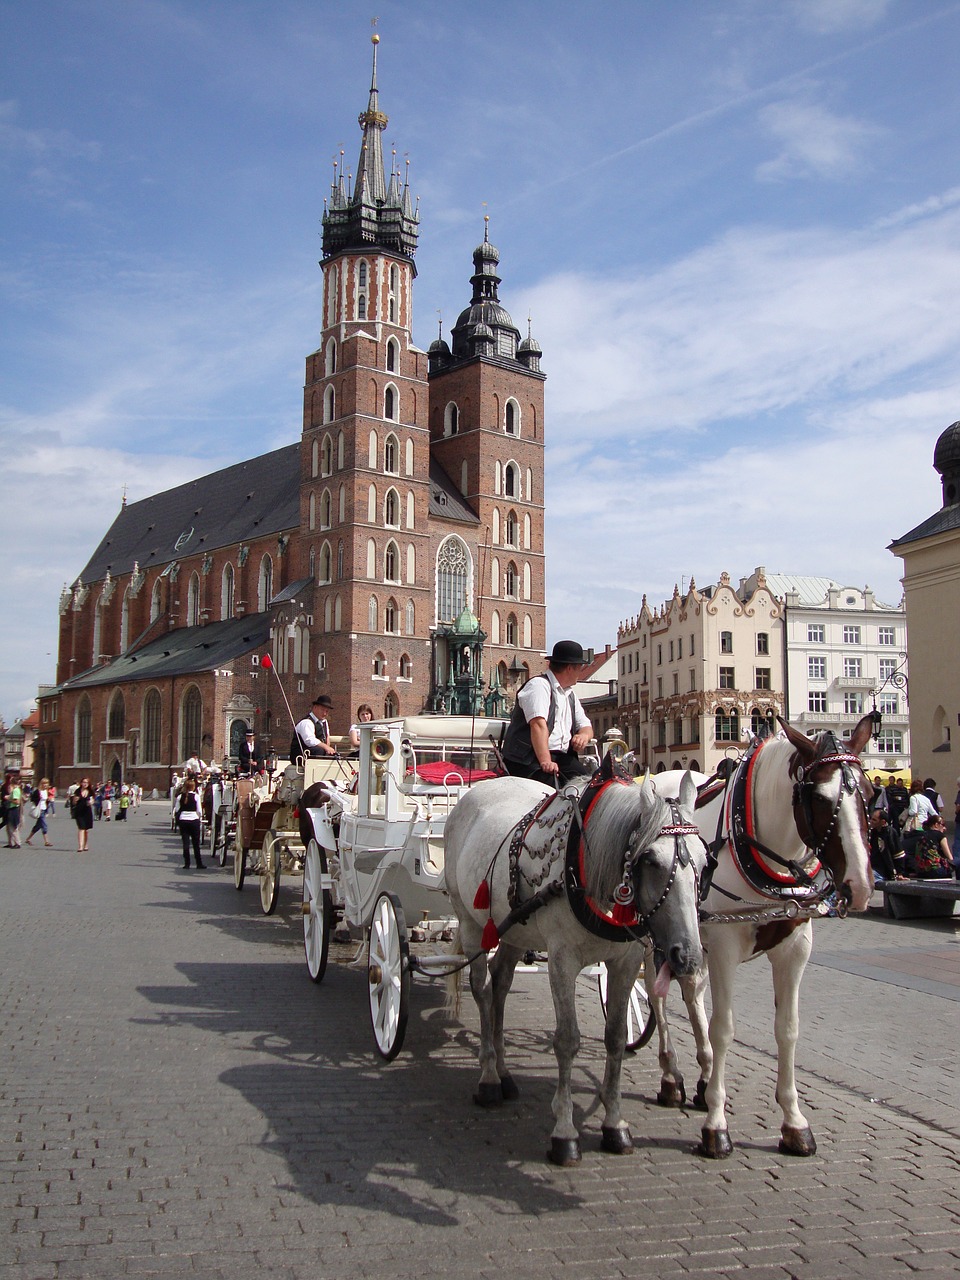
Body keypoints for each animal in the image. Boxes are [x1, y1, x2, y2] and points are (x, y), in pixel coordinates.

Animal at [445, 752, 706, 1167]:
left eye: (705, 859)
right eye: (650, 860)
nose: (688, 955)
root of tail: (480, 787)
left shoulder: (627, 961)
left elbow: (615, 1037)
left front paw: (614, 1125)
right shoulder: (562, 959)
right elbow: (567, 1040)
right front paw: (564, 1133)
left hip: (514, 930)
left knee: (501, 984)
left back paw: (504, 1072)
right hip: (470, 922)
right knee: (482, 990)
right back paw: (488, 1078)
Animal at [650, 711, 875, 1162]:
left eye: (871, 793)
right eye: (818, 797)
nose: (859, 886)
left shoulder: (795, 949)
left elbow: (787, 1028)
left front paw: (794, 1123)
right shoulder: (723, 949)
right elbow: (723, 1028)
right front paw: (716, 1126)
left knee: (690, 991)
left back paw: (702, 1076)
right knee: (657, 994)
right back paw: (671, 1076)